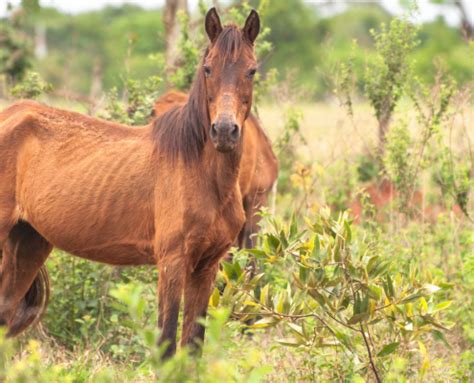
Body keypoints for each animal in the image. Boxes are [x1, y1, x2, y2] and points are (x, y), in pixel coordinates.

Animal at [0, 7, 260, 358]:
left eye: (252, 71)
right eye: (208, 68)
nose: (223, 131)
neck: (200, 174)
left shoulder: (206, 266)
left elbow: (192, 346)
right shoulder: (172, 262)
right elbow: (166, 343)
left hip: (28, 241)